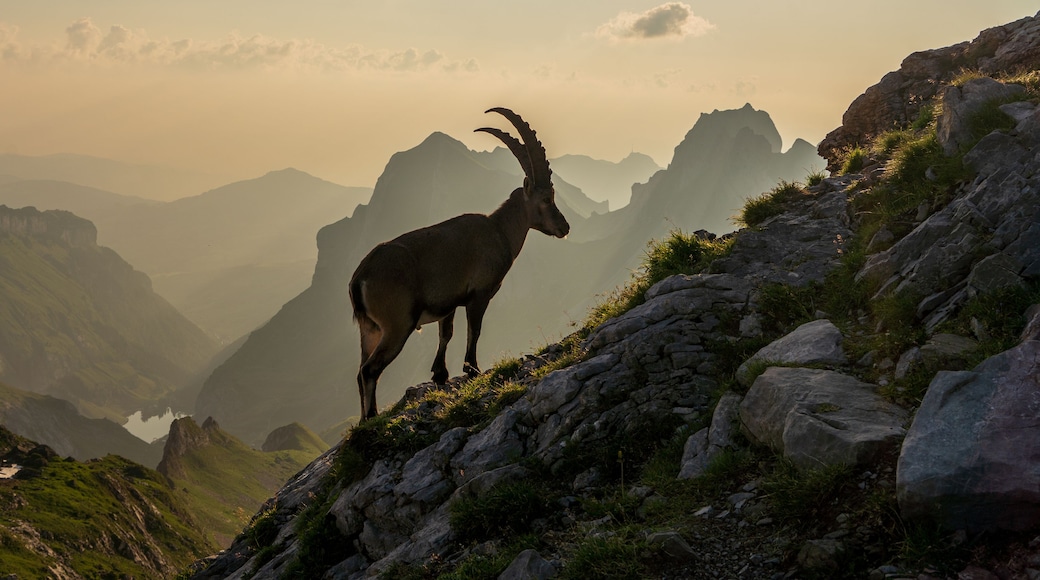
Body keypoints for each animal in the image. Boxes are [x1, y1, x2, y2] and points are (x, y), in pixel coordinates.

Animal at [348, 108, 570, 419]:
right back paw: (372, 417)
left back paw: (364, 419)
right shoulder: (479, 294)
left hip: (369, 329)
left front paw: (440, 374)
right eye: (547, 198)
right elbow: (473, 331)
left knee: (360, 371)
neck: (499, 230)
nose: (564, 227)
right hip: (397, 325)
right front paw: (472, 369)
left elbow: (446, 334)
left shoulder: (448, 304)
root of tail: (360, 279)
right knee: (370, 370)